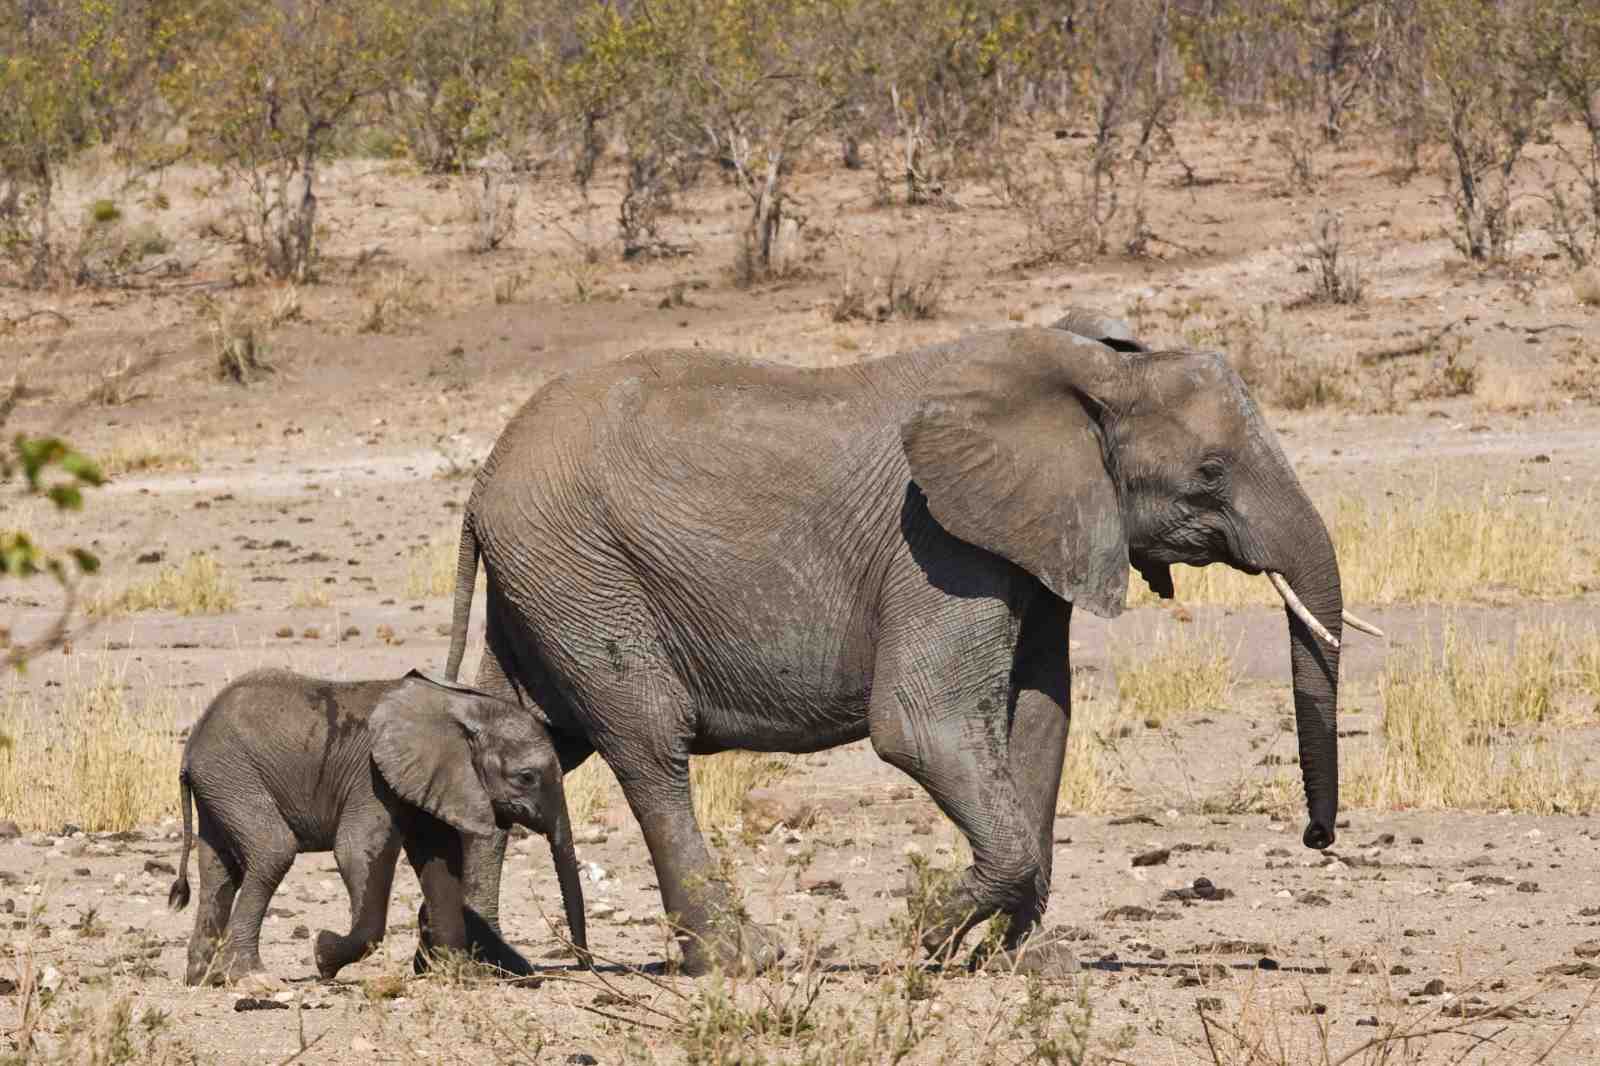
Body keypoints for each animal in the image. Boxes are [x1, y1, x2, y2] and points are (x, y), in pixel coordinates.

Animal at [167, 668, 586, 985]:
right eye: (526, 778)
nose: (584, 965)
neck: (456, 705)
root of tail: (191, 746)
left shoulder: (428, 779)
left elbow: (441, 863)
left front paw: (458, 975)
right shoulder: (371, 779)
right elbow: (356, 851)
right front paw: (323, 954)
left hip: (221, 783)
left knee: (219, 870)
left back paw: (204, 978)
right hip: (234, 775)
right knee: (273, 851)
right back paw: (252, 978)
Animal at [439, 310, 1381, 975]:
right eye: (1211, 474)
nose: (1316, 839)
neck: (1093, 371)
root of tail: (481, 486)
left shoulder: (1034, 541)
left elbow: (1039, 724)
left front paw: (1020, 961)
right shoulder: (938, 543)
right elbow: (923, 727)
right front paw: (923, 942)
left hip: (548, 581)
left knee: (523, 739)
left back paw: (477, 963)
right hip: (582, 568)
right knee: (648, 747)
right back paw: (742, 961)